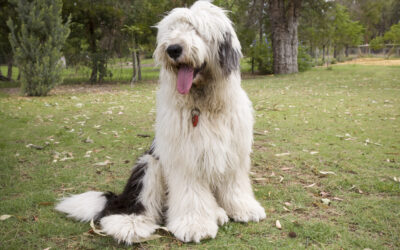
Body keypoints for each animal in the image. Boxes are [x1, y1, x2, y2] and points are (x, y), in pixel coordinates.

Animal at [54, 0, 264, 244]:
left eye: (196, 29)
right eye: (172, 30)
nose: (173, 49)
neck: (202, 105)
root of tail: (119, 198)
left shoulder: (233, 152)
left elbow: (234, 184)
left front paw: (244, 209)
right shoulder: (184, 158)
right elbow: (191, 193)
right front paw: (195, 225)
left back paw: (218, 212)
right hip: (149, 166)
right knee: (135, 206)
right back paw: (130, 224)